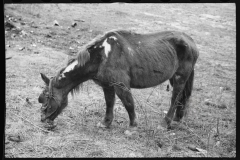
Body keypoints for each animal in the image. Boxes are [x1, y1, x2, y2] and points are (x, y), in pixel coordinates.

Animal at [38, 29, 199, 130]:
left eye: (46, 98)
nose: (43, 120)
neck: (102, 54)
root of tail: (191, 41)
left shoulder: (121, 85)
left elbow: (128, 104)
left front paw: (132, 126)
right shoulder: (107, 85)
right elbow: (109, 103)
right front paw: (106, 123)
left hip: (179, 78)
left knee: (175, 98)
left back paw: (166, 123)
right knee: (182, 98)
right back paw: (177, 120)